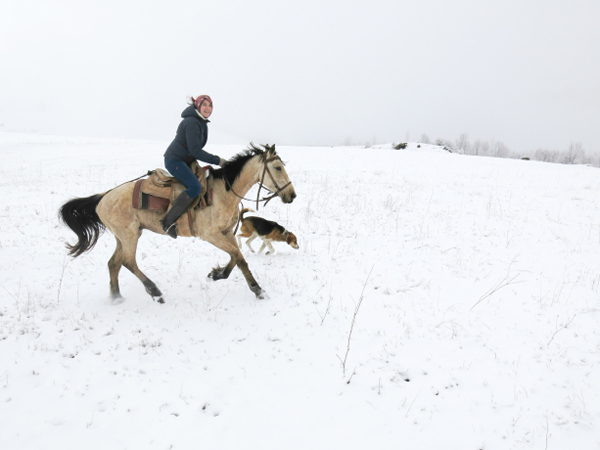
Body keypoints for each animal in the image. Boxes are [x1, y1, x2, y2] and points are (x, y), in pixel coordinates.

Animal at [57, 142, 296, 302]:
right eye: (277, 168)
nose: (291, 195)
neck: (223, 192)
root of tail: (104, 197)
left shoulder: (227, 233)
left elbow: (239, 258)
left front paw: (253, 288)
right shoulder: (210, 235)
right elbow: (236, 256)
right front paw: (221, 276)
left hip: (124, 235)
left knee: (114, 263)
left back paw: (117, 298)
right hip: (129, 235)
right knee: (128, 262)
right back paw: (154, 291)